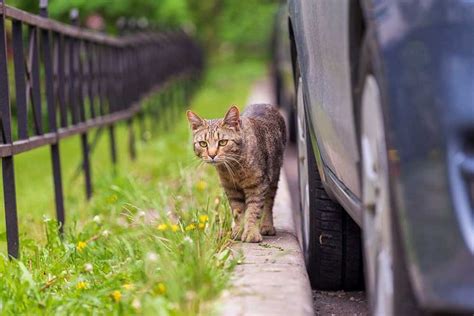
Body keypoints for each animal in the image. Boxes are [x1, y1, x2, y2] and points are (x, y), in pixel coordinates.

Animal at [187, 104, 286, 242]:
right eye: (203, 144)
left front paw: (250, 232)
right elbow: (238, 211)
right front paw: (239, 230)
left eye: (222, 142)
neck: (234, 168)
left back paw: (267, 226)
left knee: (268, 203)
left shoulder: (257, 186)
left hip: (273, 177)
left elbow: (253, 210)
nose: (212, 155)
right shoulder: (231, 188)